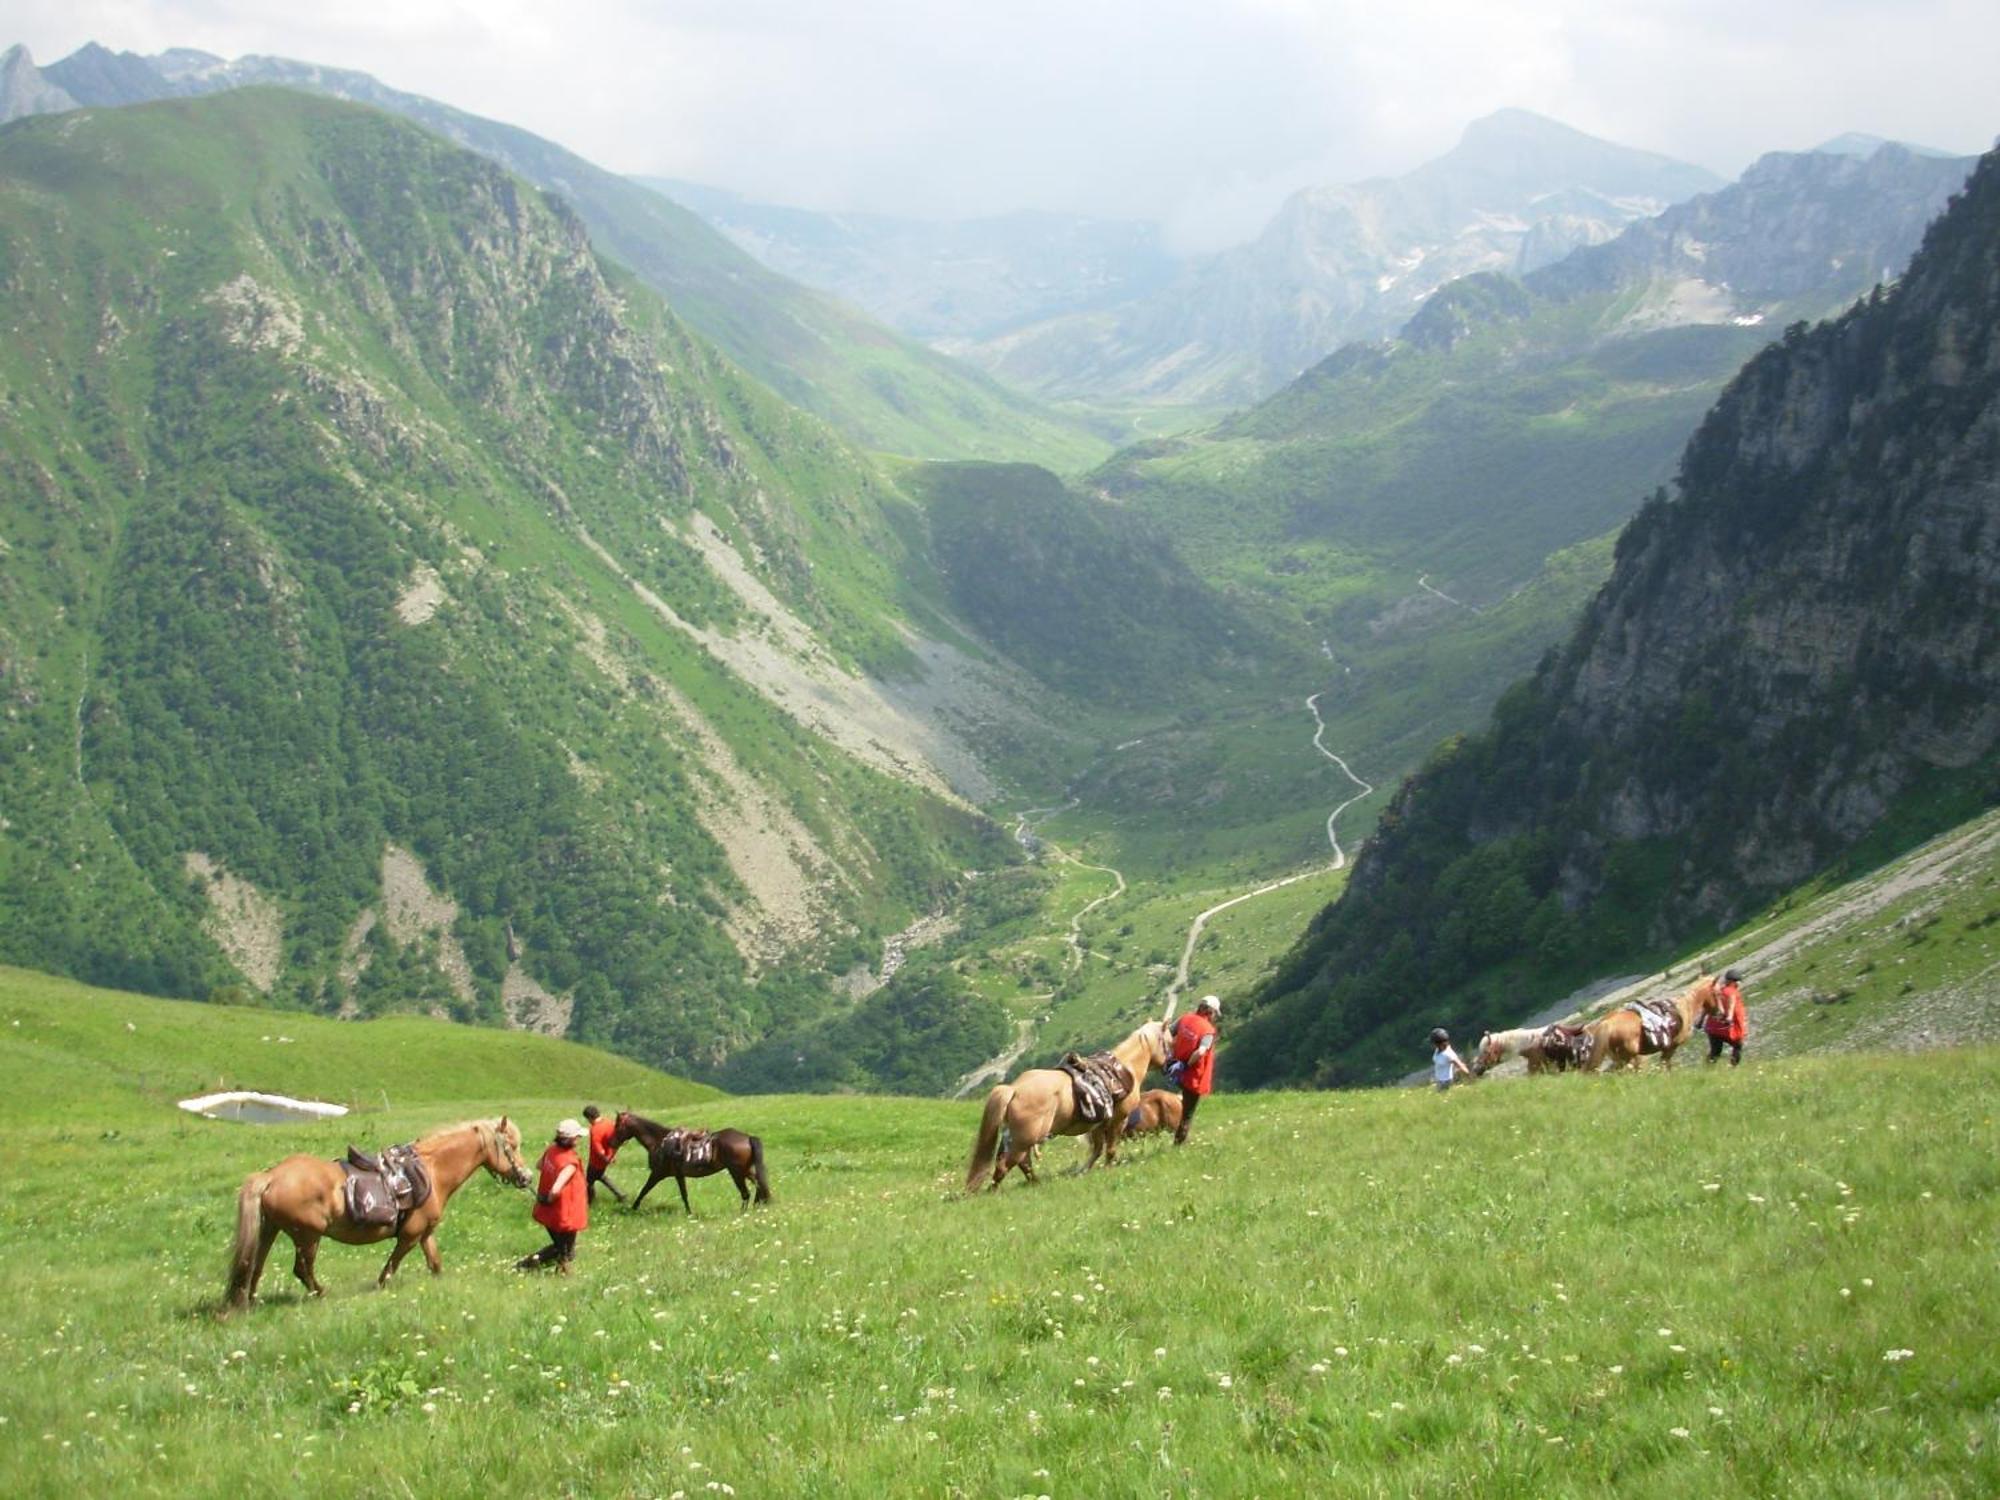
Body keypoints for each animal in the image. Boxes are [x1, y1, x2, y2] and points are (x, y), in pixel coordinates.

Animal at [604, 1112, 768, 1216]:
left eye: (617, 1126)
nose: (611, 1143)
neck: (660, 1141)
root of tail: (747, 1137)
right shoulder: (678, 1175)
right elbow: (684, 1194)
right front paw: (689, 1212)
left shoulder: (658, 1173)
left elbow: (644, 1190)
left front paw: (633, 1208)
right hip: (746, 1170)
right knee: (759, 1185)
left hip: (737, 1172)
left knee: (746, 1193)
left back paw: (743, 1213)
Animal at [968, 1016, 1168, 1192]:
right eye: (1168, 1041)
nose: (1168, 1065)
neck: (1127, 1067)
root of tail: (1014, 1089)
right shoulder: (1118, 1120)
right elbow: (1110, 1149)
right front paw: (1107, 1169)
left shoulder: (1098, 1124)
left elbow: (1097, 1149)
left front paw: (1083, 1171)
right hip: (1024, 1139)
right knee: (1008, 1164)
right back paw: (994, 1191)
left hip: (1016, 1138)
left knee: (1021, 1162)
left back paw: (1035, 1183)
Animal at [1584, 980, 1728, 1072]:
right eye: (1717, 993)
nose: (1721, 1013)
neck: (1685, 1007)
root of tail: (1607, 1024)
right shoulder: (1670, 1047)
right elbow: (1665, 1066)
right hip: (1630, 1058)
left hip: (1620, 1059)